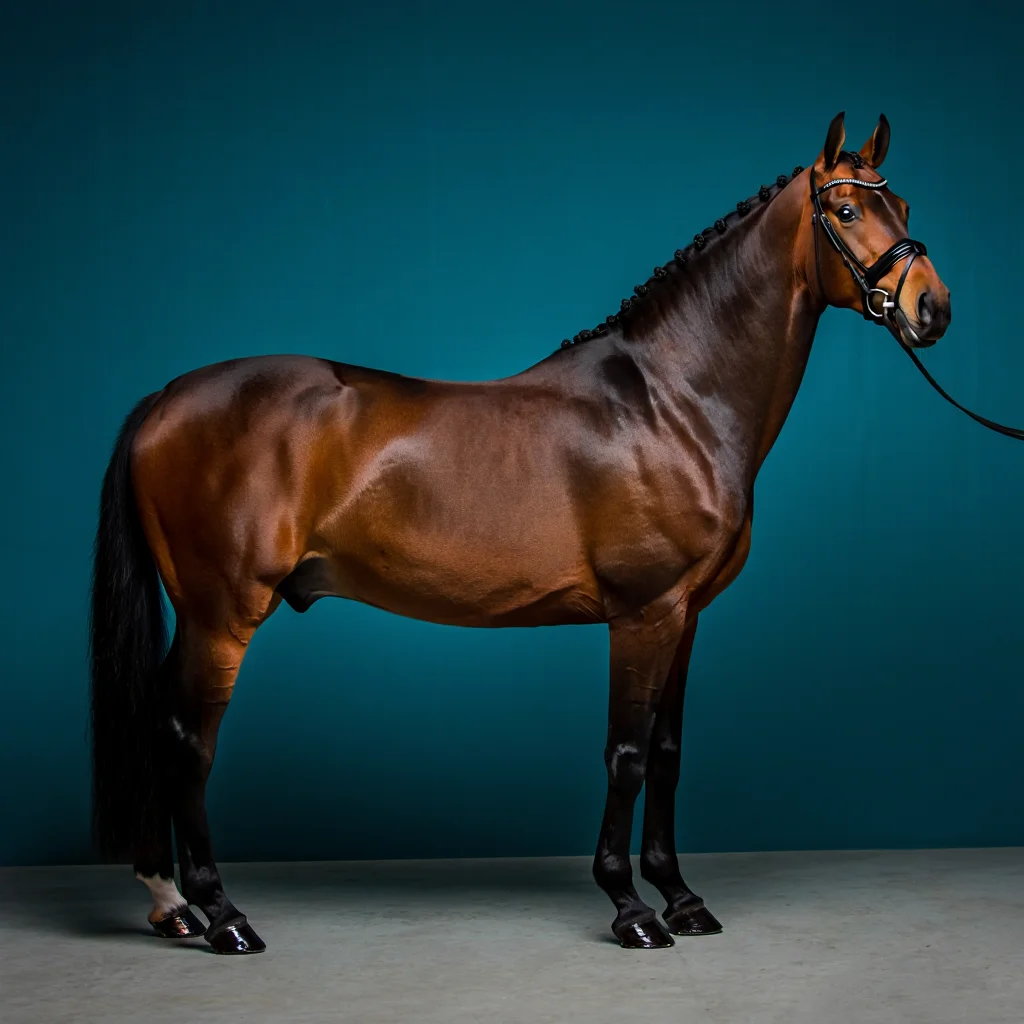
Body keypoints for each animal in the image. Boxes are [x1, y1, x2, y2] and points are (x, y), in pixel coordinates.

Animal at [89, 111, 950, 953]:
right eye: (848, 211)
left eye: (905, 207)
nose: (932, 308)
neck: (672, 400)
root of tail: (166, 397)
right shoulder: (644, 615)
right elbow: (627, 754)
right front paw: (630, 907)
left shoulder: (688, 615)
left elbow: (667, 756)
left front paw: (681, 898)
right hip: (221, 614)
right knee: (188, 740)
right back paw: (220, 913)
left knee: (157, 723)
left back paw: (170, 903)